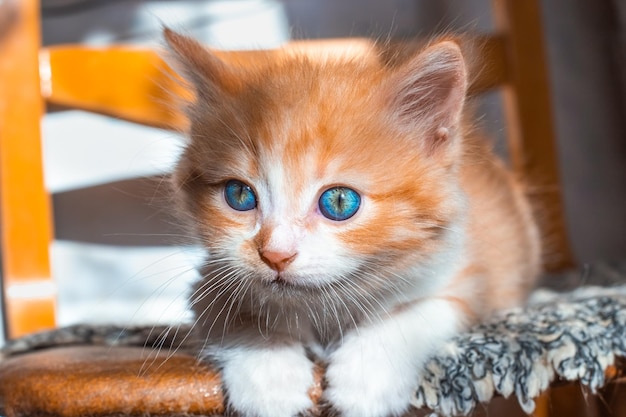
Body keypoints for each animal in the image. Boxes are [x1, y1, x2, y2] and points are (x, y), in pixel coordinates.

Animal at [163, 28, 540, 416]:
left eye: (339, 202)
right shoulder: (211, 277)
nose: (275, 255)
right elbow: (226, 312)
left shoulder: (470, 274)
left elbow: (419, 313)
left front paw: (365, 379)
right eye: (239, 195)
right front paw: (269, 374)